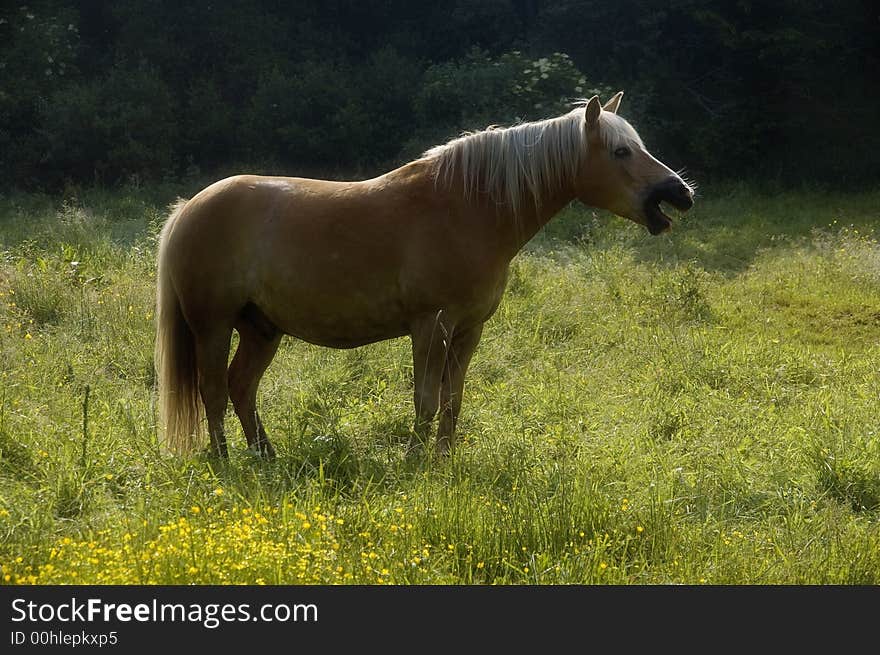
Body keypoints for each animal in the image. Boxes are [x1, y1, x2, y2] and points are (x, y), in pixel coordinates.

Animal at [156, 92, 696, 458]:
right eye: (621, 152)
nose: (680, 194)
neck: (466, 209)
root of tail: (188, 209)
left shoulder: (469, 329)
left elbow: (452, 401)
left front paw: (443, 460)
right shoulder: (430, 326)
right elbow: (426, 399)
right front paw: (416, 462)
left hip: (261, 329)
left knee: (241, 387)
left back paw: (264, 455)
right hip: (213, 326)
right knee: (213, 391)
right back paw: (226, 462)